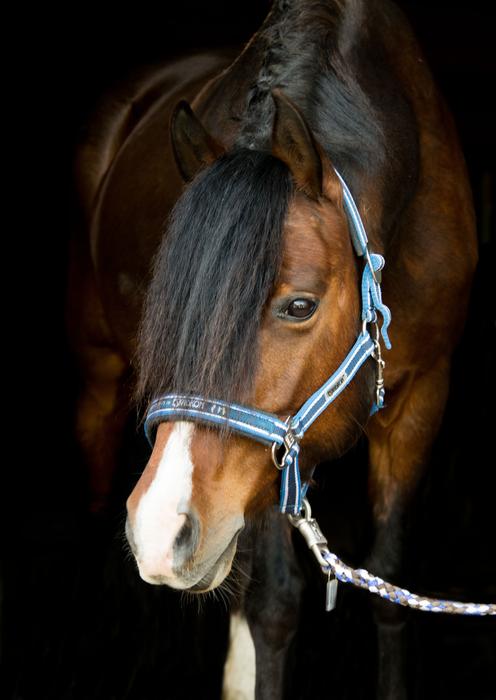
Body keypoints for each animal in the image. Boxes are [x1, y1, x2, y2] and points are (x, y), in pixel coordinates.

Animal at [69, 0, 477, 697]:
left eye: (299, 306)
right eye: (169, 304)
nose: (158, 528)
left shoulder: (421, 397)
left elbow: (387, 591)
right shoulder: (261, 462)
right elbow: (275, 607)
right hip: (98, 377)